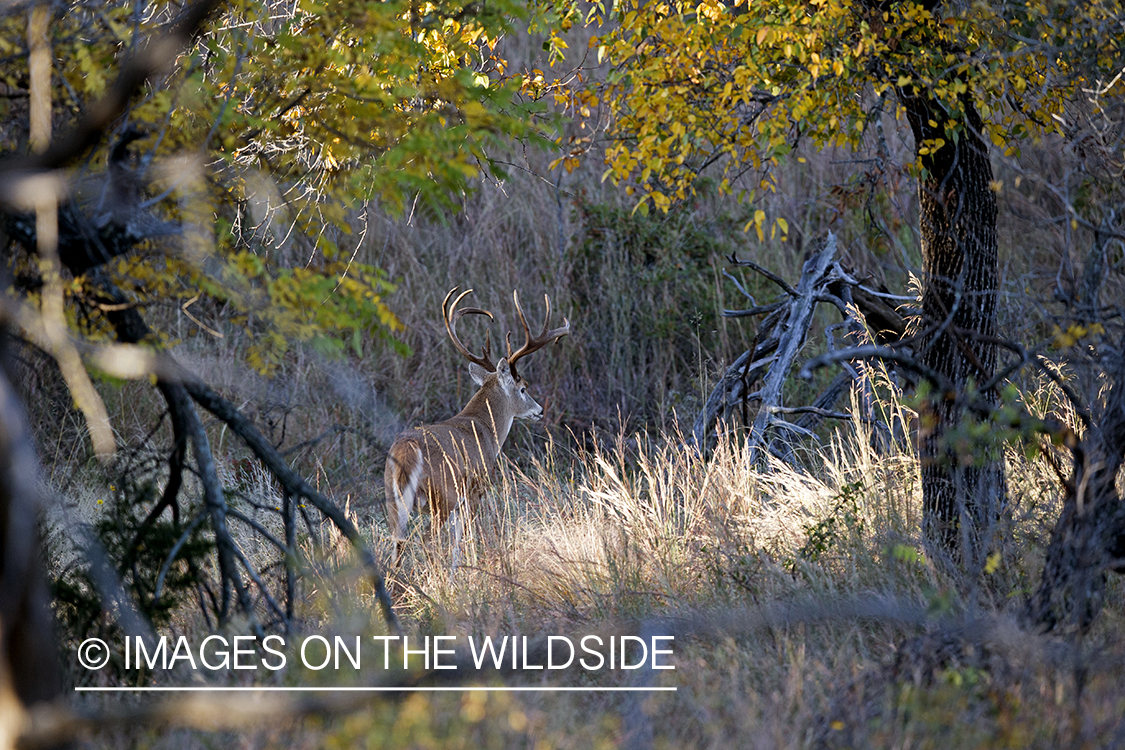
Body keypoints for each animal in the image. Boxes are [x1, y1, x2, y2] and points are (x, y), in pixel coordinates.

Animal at [384, 290, 567, 568]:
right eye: (523, 388)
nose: (539, 410)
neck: (485, 429)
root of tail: (407, 450)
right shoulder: (475, 491)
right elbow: (463, 542)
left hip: (393, 500)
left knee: (396, 547)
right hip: (443, 496)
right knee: (427, 541)